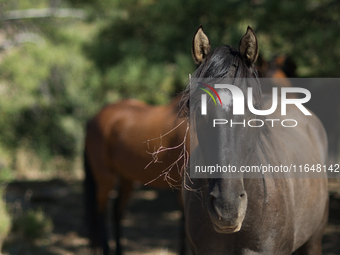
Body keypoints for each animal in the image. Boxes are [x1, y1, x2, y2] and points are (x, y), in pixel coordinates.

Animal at [83, 98, 187, 255]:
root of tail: (93, 119)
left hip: (126, 179)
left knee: (117, 210)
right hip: (105, 177)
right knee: (101, 209)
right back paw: (106, 248)